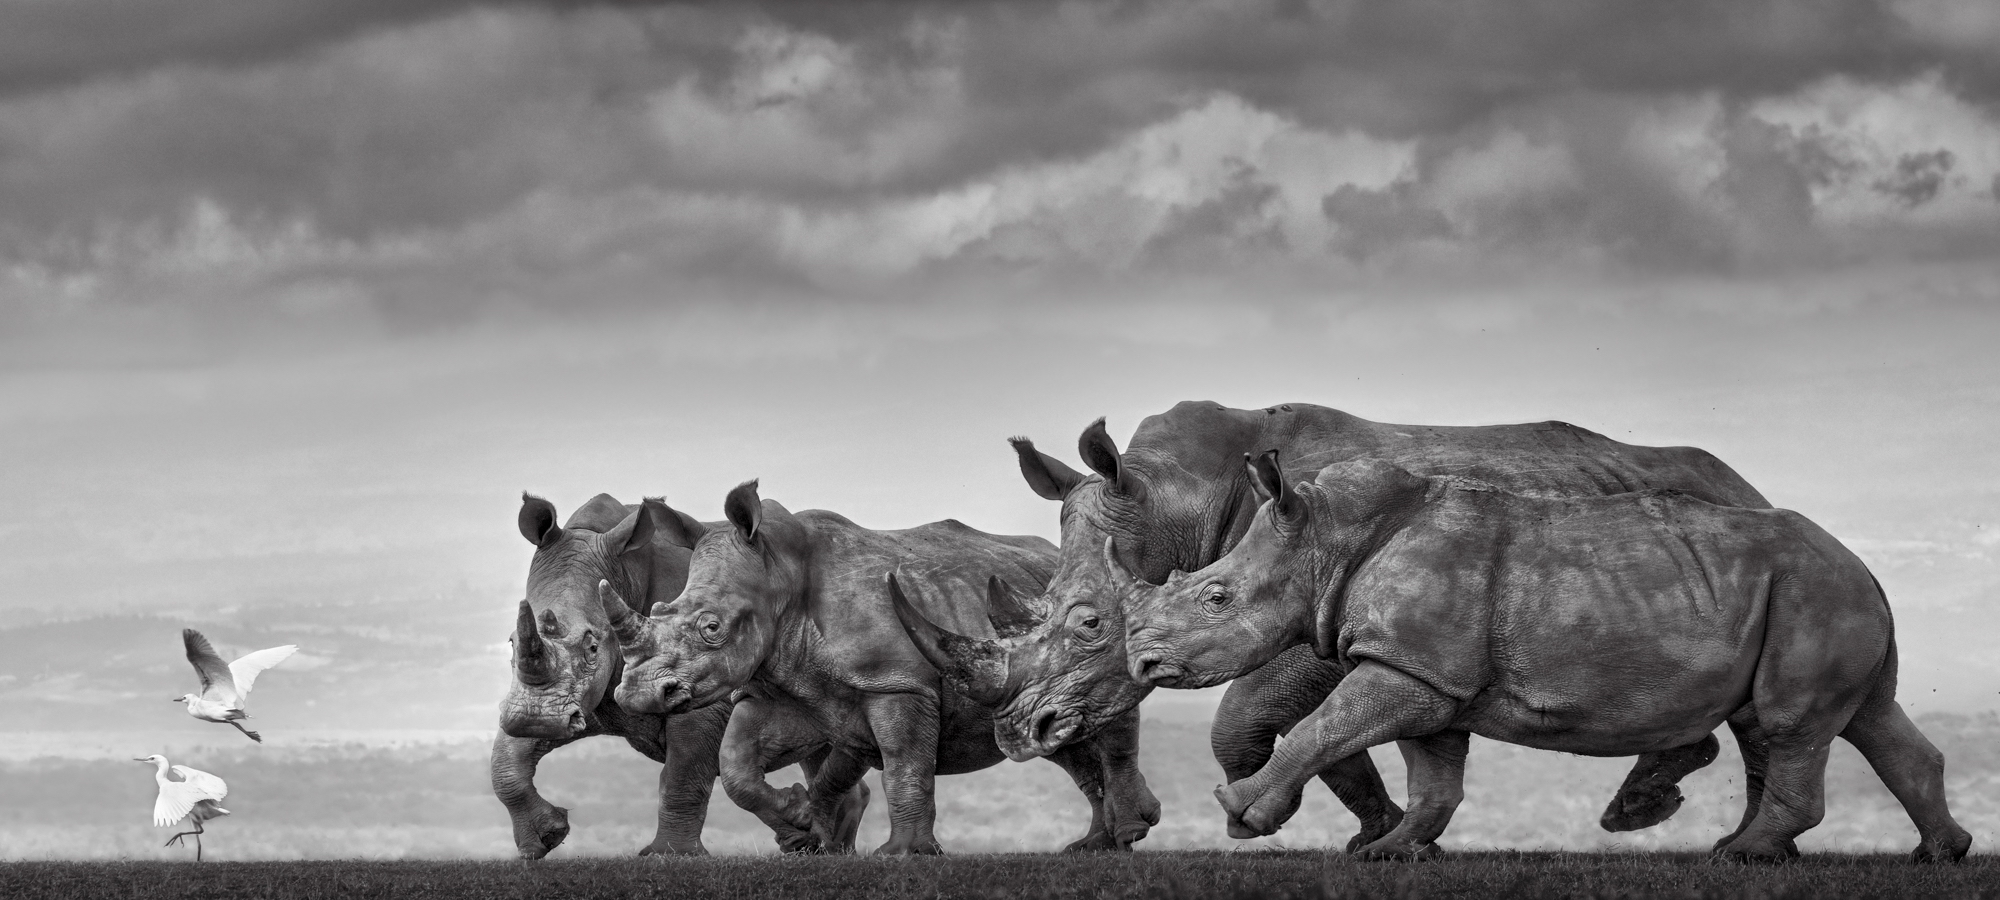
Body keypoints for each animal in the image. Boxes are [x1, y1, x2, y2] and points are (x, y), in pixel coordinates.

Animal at [494, 493, 866, 858]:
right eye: (511, 642)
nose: (535, 720)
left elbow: (683, 772)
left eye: (593, 647)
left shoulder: (703, 685)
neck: (624, 573)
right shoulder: (574, 699)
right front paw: (545, 838)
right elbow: (505, 758)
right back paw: (821, 849)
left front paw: (670, 855)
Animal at [603, 479, 1161, 854]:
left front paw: (904, 855)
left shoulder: (899, 685)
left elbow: (904, 763)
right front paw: (801, 824)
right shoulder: (777, 688)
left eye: (712, 627)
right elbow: (737, 762)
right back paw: (1095, 846)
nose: (637, 694)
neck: (778, 573)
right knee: (1059, 736)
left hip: (1091, 633)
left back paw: (1124, 834)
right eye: (660, 610)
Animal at [909, 401, 1773, 849]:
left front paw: (1275, 819)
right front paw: (1379, 833)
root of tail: (1750, 486)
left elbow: (1254, 713)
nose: (1023, 730)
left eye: (1092, 622)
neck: (1174, 500)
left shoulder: (1316, 603)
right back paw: (1645, 806)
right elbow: (1314, 725)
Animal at [1121, 453, 1972, 863]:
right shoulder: (1426, 672)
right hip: (1819, 593)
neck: (1325, 538)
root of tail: (1866, 566)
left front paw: (1239, 817)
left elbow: (1322, 727)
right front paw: (1393, 853)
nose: (1145, 667)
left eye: (1217, 597)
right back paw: (1938, 854)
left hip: (1812, 593)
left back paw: (1739, 856)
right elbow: (1434, 774)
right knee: (1866, 719)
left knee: (1791, 724)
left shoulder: (1412, 668)